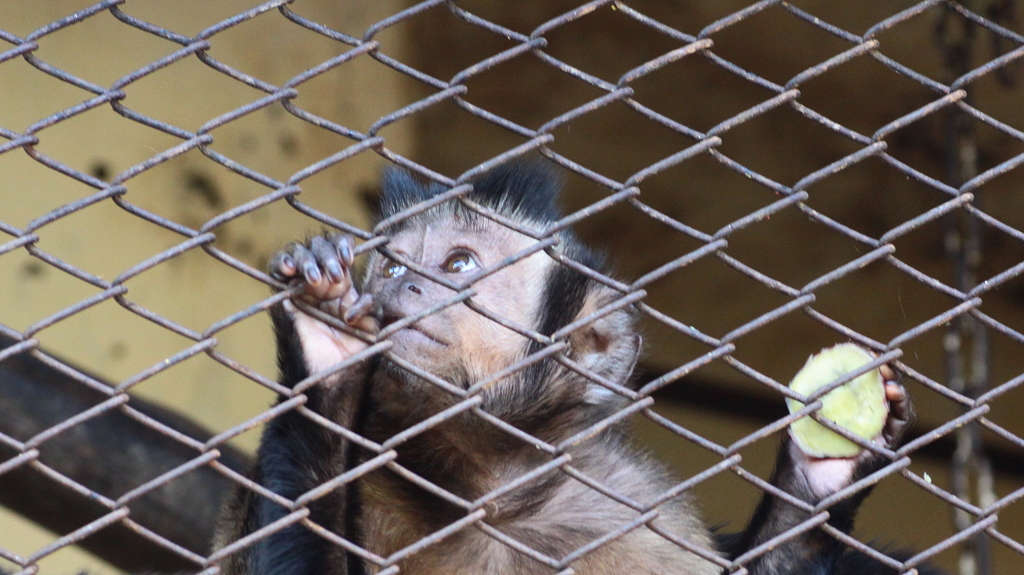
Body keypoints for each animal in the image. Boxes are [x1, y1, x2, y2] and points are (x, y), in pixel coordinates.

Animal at [211, 162, 937, 572]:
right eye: (390, 267)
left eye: (457, 264)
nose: (404, 286)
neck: (490, 491)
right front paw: (322, 354)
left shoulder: (626, 510)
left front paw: (823, 473)